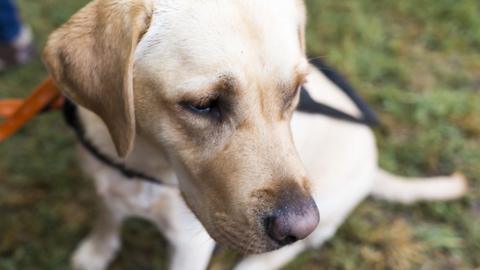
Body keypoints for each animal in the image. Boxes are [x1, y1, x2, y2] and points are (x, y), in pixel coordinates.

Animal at [42, 0, 468, 270]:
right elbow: (107, 217)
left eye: (295, 92)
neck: (139, 165)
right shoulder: (106, 184)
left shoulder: (190, 246)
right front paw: (97, 251)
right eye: (203, 104)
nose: (299, 225)